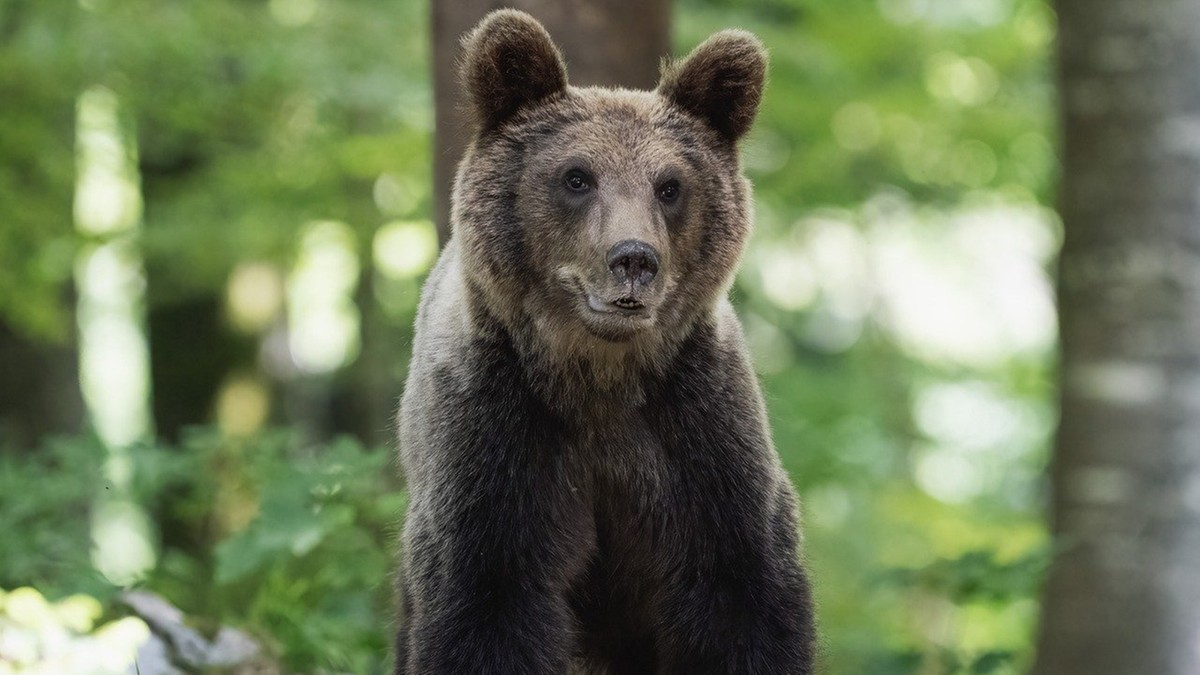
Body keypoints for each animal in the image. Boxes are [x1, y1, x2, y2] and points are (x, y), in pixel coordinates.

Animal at [398, 10, 820, 672]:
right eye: (577, 177)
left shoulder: (700, 438)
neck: (598, 377)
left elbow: (742, 597)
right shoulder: (495, 441)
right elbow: (487, 605)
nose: (634, 259)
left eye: (669, 185)